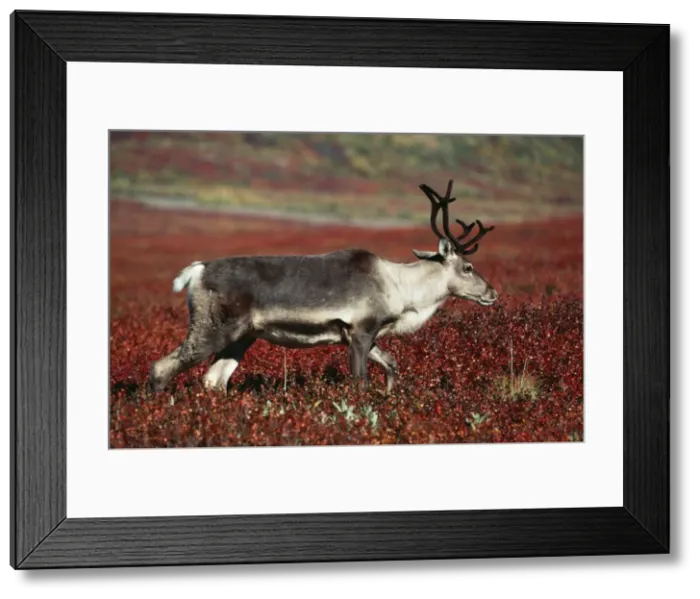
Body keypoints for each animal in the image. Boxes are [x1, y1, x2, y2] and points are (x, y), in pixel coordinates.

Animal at [148, 179, 498, 396]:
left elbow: (392, 364)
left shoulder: (366, 336)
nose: (493, 293)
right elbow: (360, 382)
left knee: (213, 381)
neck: (401, 288)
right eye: (468, 267)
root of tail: (198, 270)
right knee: (161, 367)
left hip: (241, 337)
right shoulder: (360, 332)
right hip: (213, 328)